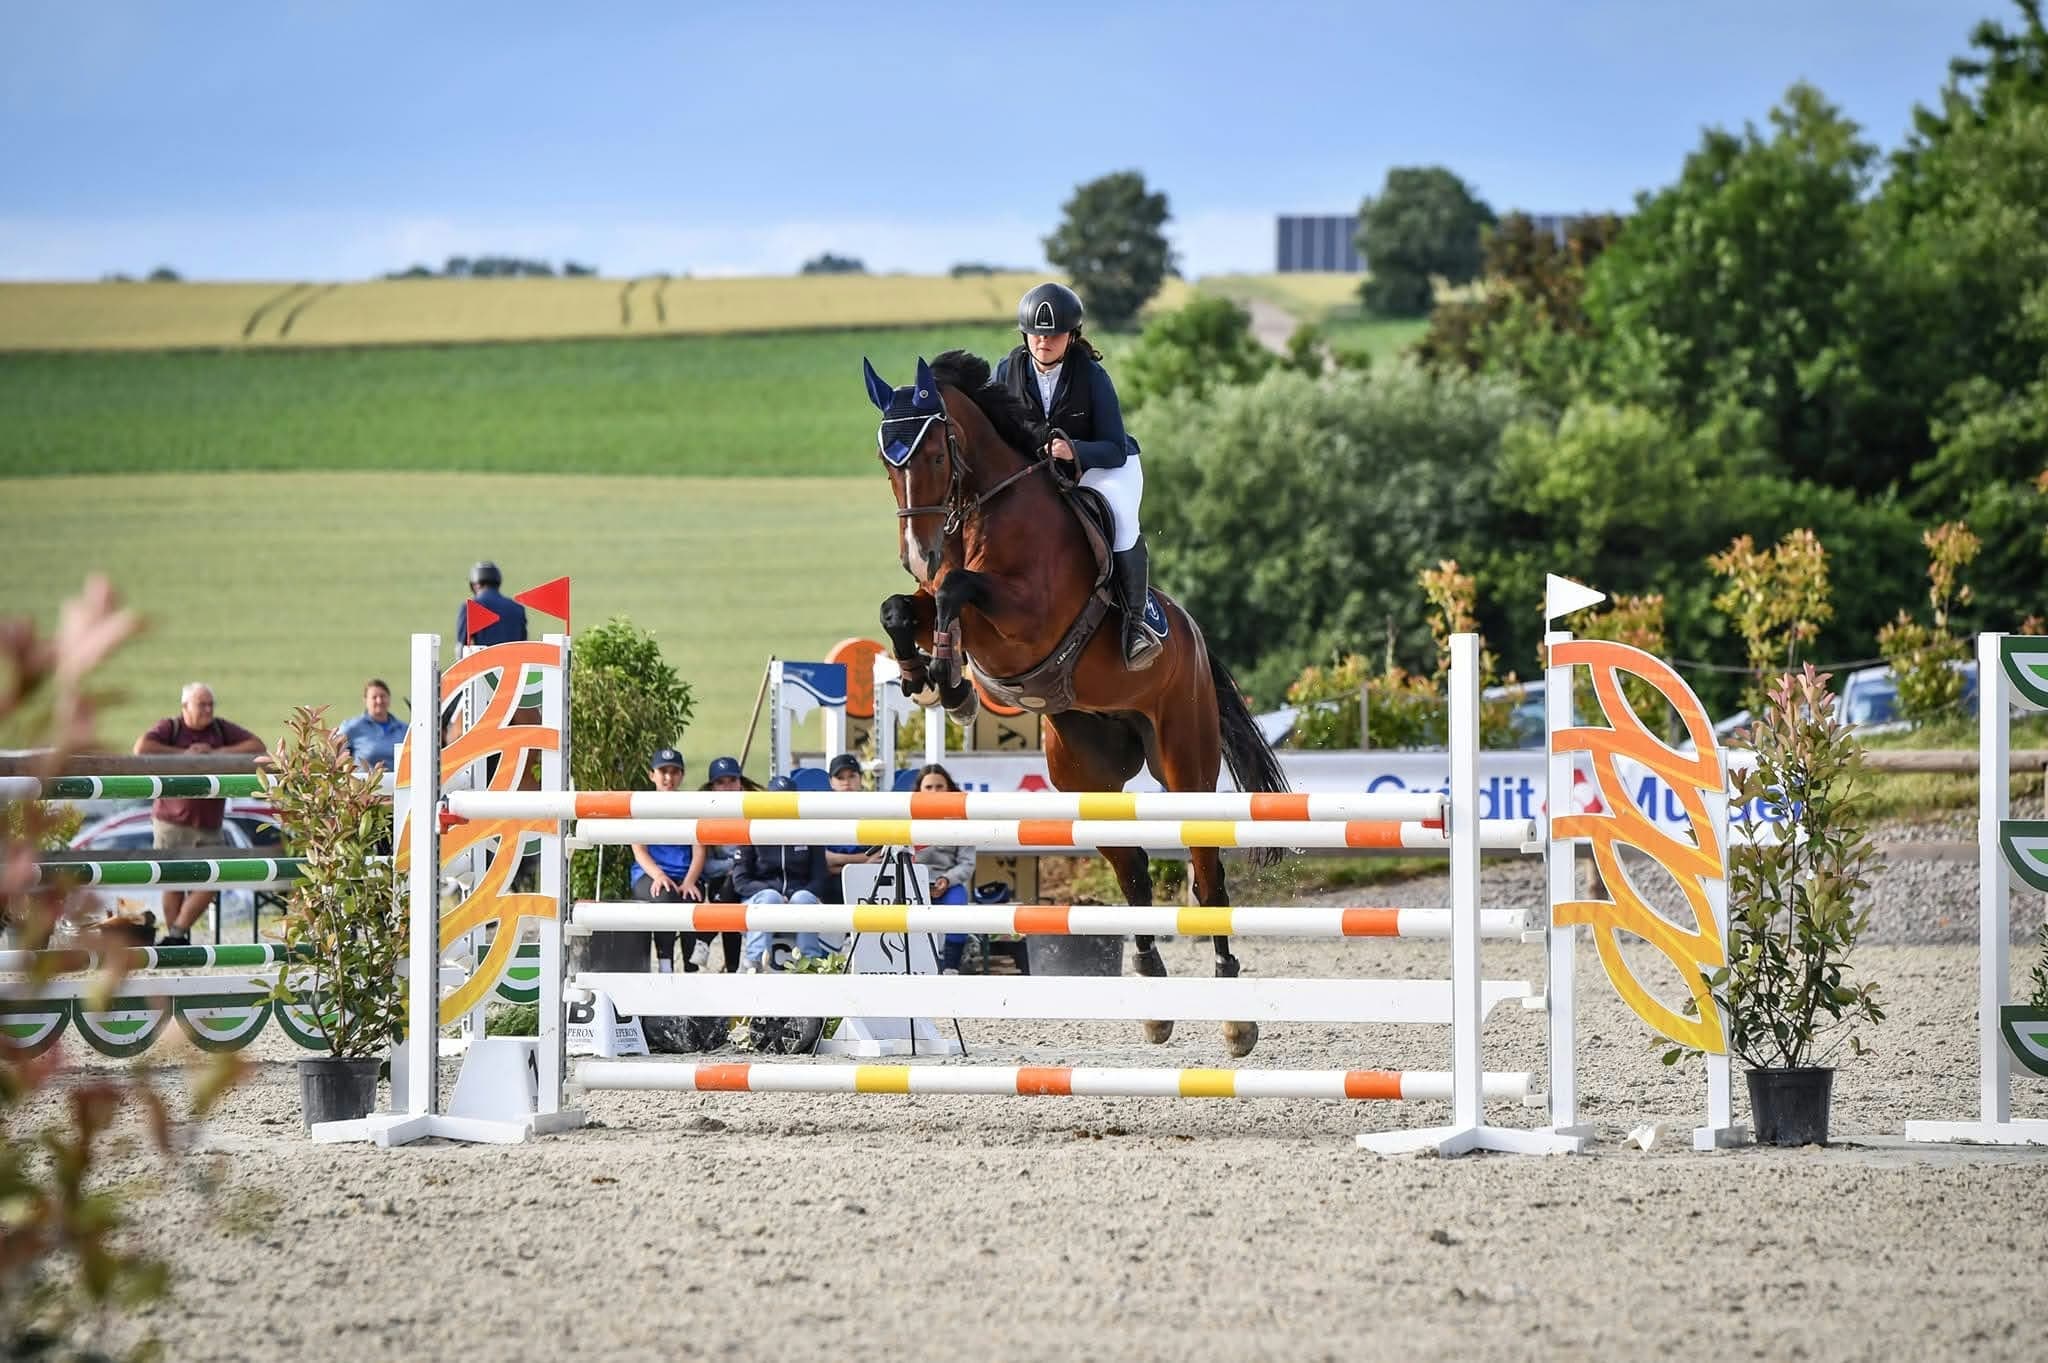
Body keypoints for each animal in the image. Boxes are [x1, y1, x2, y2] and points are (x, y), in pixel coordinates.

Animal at [863, 350, 1289, 1057]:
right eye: (885, 460)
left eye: (935, 454)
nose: (917, 554)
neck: (985, 512)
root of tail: (1195, 639)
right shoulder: (952, 605)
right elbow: (902, 607)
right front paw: (933, 678)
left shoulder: (1026, 618)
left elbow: (956, 590)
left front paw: (947, 677)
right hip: (1085, 771)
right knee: (1133, 871)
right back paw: (1153, 996)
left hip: (1184, 756)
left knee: (1205, 874)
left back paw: (1235, 1017)